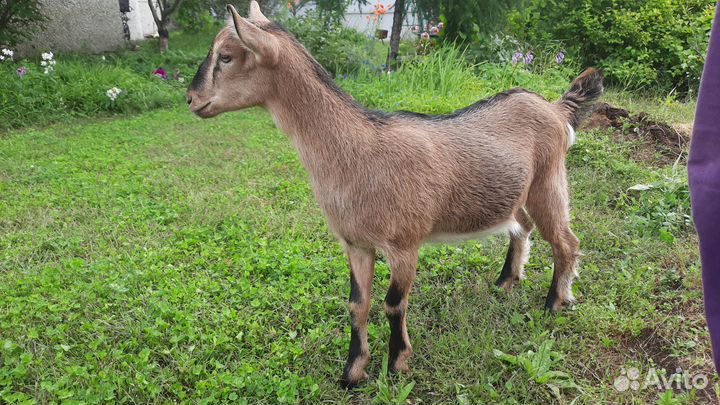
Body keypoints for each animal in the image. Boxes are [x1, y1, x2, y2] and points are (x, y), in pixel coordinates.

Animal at [186, 2, 604, 388]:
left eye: (226, 56)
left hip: (549, 180)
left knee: (566, 240)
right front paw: (352, 373)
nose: (191, 99)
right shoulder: (355, 243)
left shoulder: (405, 243)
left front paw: (397, 365)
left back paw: (555, 302)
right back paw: (505, 282)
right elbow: (358, 304)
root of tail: (555, 109)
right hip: (515, 192)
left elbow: (393, 304)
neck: (358, 151)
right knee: (522, 226)